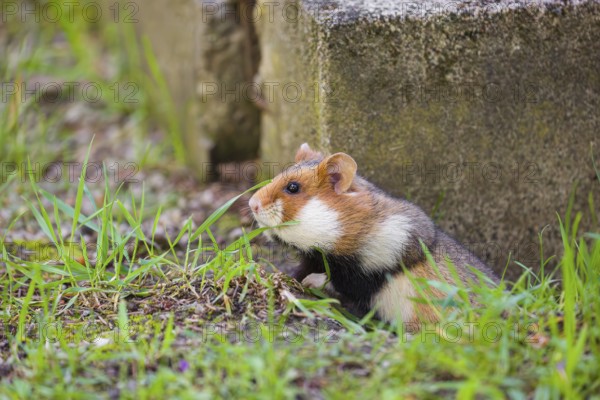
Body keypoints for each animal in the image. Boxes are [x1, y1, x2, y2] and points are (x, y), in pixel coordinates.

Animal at [246, 145, 500, 326]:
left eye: (293, 187)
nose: (251, 204)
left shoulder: (370, 271)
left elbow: (336, 282)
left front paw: (310, 282)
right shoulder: (314, 258)